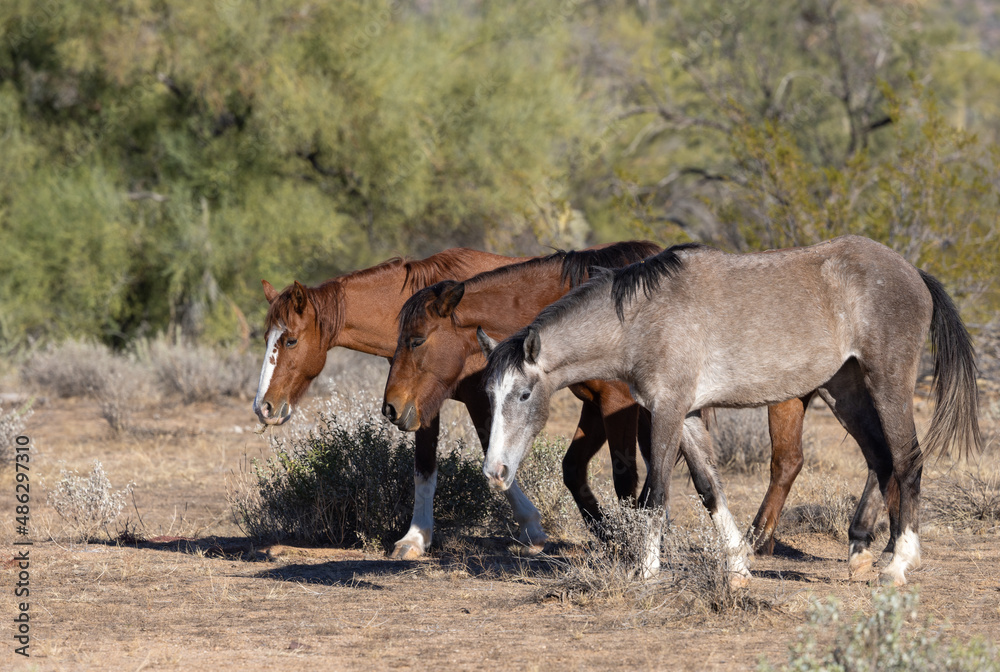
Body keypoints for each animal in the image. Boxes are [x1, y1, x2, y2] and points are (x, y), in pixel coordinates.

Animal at [386, 247, 816, 552]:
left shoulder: (619, 405)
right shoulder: (597, 404)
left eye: (416, 340)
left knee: (785, 462)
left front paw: (630, 539)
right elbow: (575, 469)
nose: (391, 407)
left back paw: (758, 539)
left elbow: (626, 475)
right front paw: (612, 534)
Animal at [480, 238, 980, 588]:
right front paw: (738, 564)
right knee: (879, 458)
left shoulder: (666, 411)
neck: (643, 319)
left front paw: (646, 570)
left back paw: (898, 564)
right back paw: (861, 553)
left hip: (888, 383)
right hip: (845, 391)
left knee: (907, 461)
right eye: (488, 394)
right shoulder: (686, 415)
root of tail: (913, 272)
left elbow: (655, 493)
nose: (495, 472)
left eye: (522, 395)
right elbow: (708, 487)